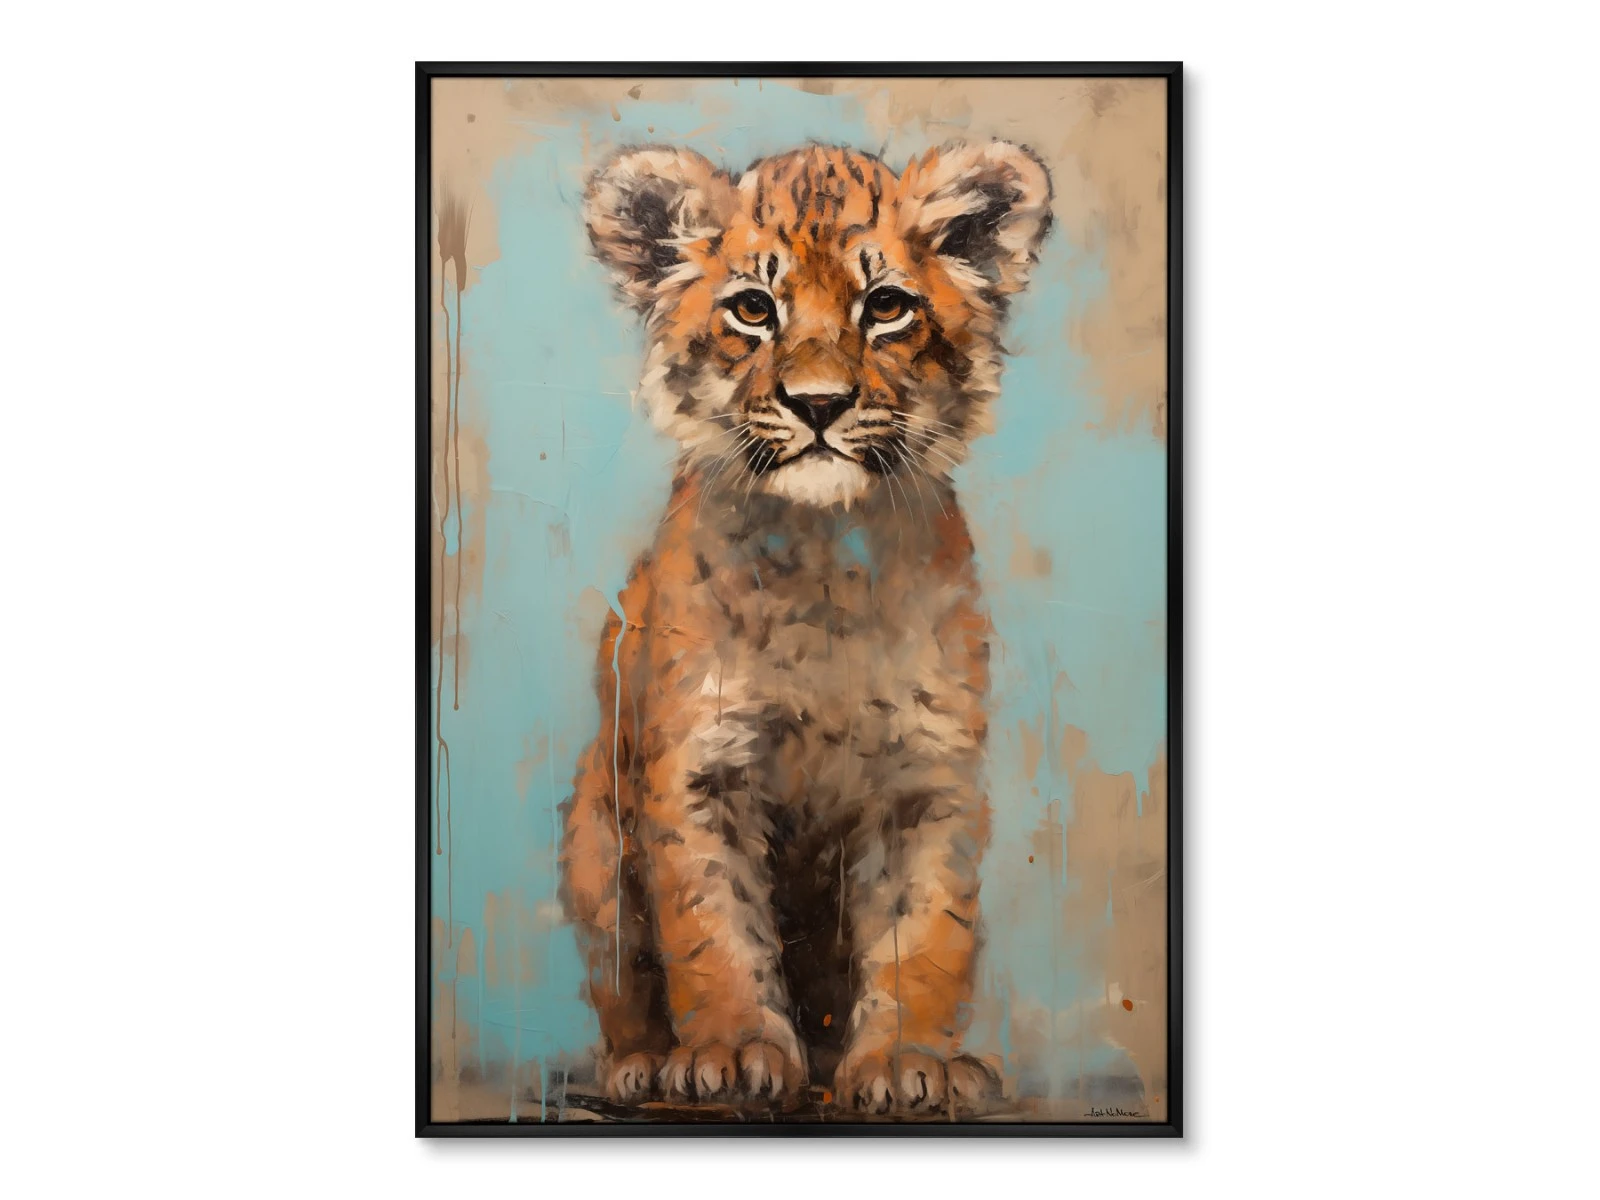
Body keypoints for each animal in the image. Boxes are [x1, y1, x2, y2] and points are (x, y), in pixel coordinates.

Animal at [559, 140, 1052, 1114]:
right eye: (754, 309)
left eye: (886, 306)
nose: (818, 405)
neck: (825, 564)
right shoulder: (699, 771)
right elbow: (714, 930)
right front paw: (731, 1052)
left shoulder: (925, 779)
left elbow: (923, 932)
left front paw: (909, 1062)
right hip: (593, 843)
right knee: (621, 980)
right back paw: (640, 1064)